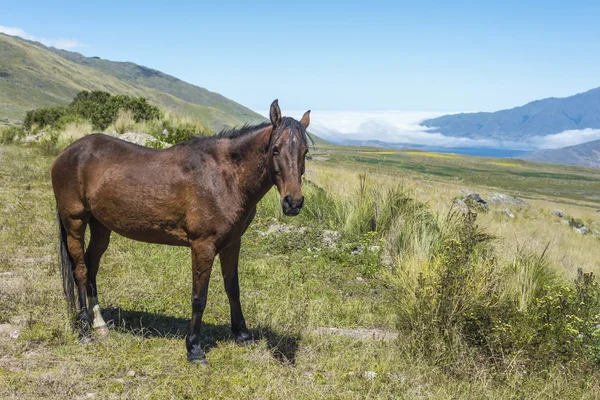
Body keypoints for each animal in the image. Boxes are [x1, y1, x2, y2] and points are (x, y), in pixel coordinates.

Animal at [52, 101, 312, 366]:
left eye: (305, 151)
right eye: (276, 149)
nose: (293, 203)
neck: (224, 177)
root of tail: (68, 152)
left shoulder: (232, 243)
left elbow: (232, 287)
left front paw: (242, 334)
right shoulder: (203, 246)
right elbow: (199, 298)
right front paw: (194, 348)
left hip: (101, 226)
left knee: (91, 266)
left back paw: (99, 324)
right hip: (75, 222)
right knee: (80, 271)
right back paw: (85, 330)